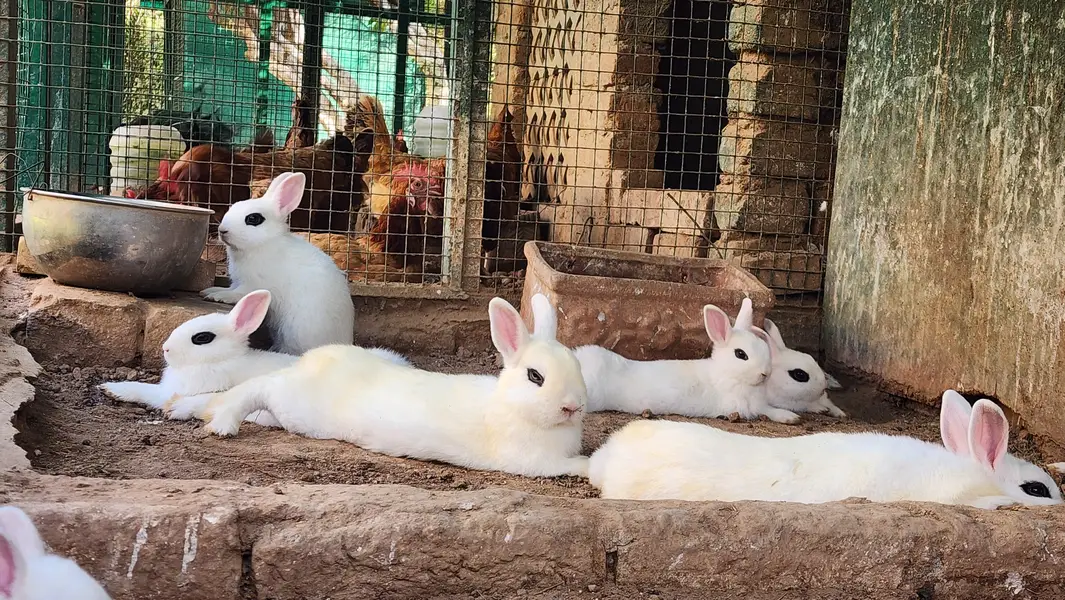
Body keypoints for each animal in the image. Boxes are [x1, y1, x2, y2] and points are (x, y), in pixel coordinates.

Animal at [100, 290, 410, 426]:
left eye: (202, 338)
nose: (165, 348)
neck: (222, 360)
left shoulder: (177, 391)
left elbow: (146, 391)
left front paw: (112, 389)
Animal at [199, 294, 590, 478]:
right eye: (535, 377)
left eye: (577, 367)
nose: (573, 406)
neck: (509, 405)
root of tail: (310, 362)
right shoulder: (536, 461)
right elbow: (572, 465)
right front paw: (590, 465)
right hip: (297, 406)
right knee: (259, 388)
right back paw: (223, 424)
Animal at [200, 171, 355, 355]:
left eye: (253, 218)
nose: (222, 230)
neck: (264, 243)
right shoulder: (238, 282)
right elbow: (230, 288)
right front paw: (210, 290)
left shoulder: (252, 285)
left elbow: (237, 294)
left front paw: (217, 296)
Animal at [574, 298, 801, 424]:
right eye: (741, 354)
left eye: (764, 347)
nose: (765, 373)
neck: (725, 374)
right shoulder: (745, 406)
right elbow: (767, 410)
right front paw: (790, 417)